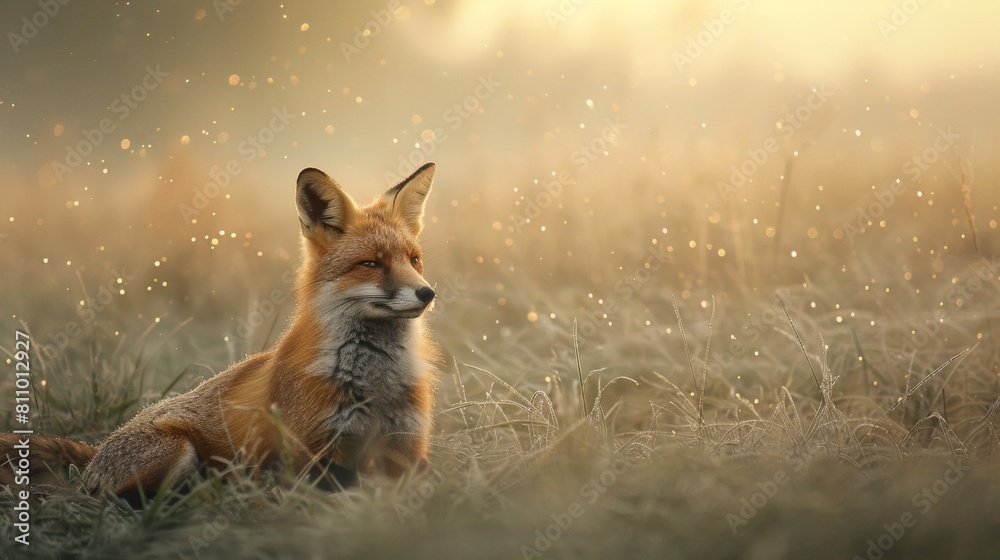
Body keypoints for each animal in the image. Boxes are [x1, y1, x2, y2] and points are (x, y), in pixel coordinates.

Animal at [0, 162, 441, 503]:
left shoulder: (406, 447)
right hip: (176, 450)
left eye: (414, 260)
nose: (427, 292)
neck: (376, 384)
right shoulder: (319, 458)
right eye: (371, 264)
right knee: (122, 499)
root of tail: (97, 451)